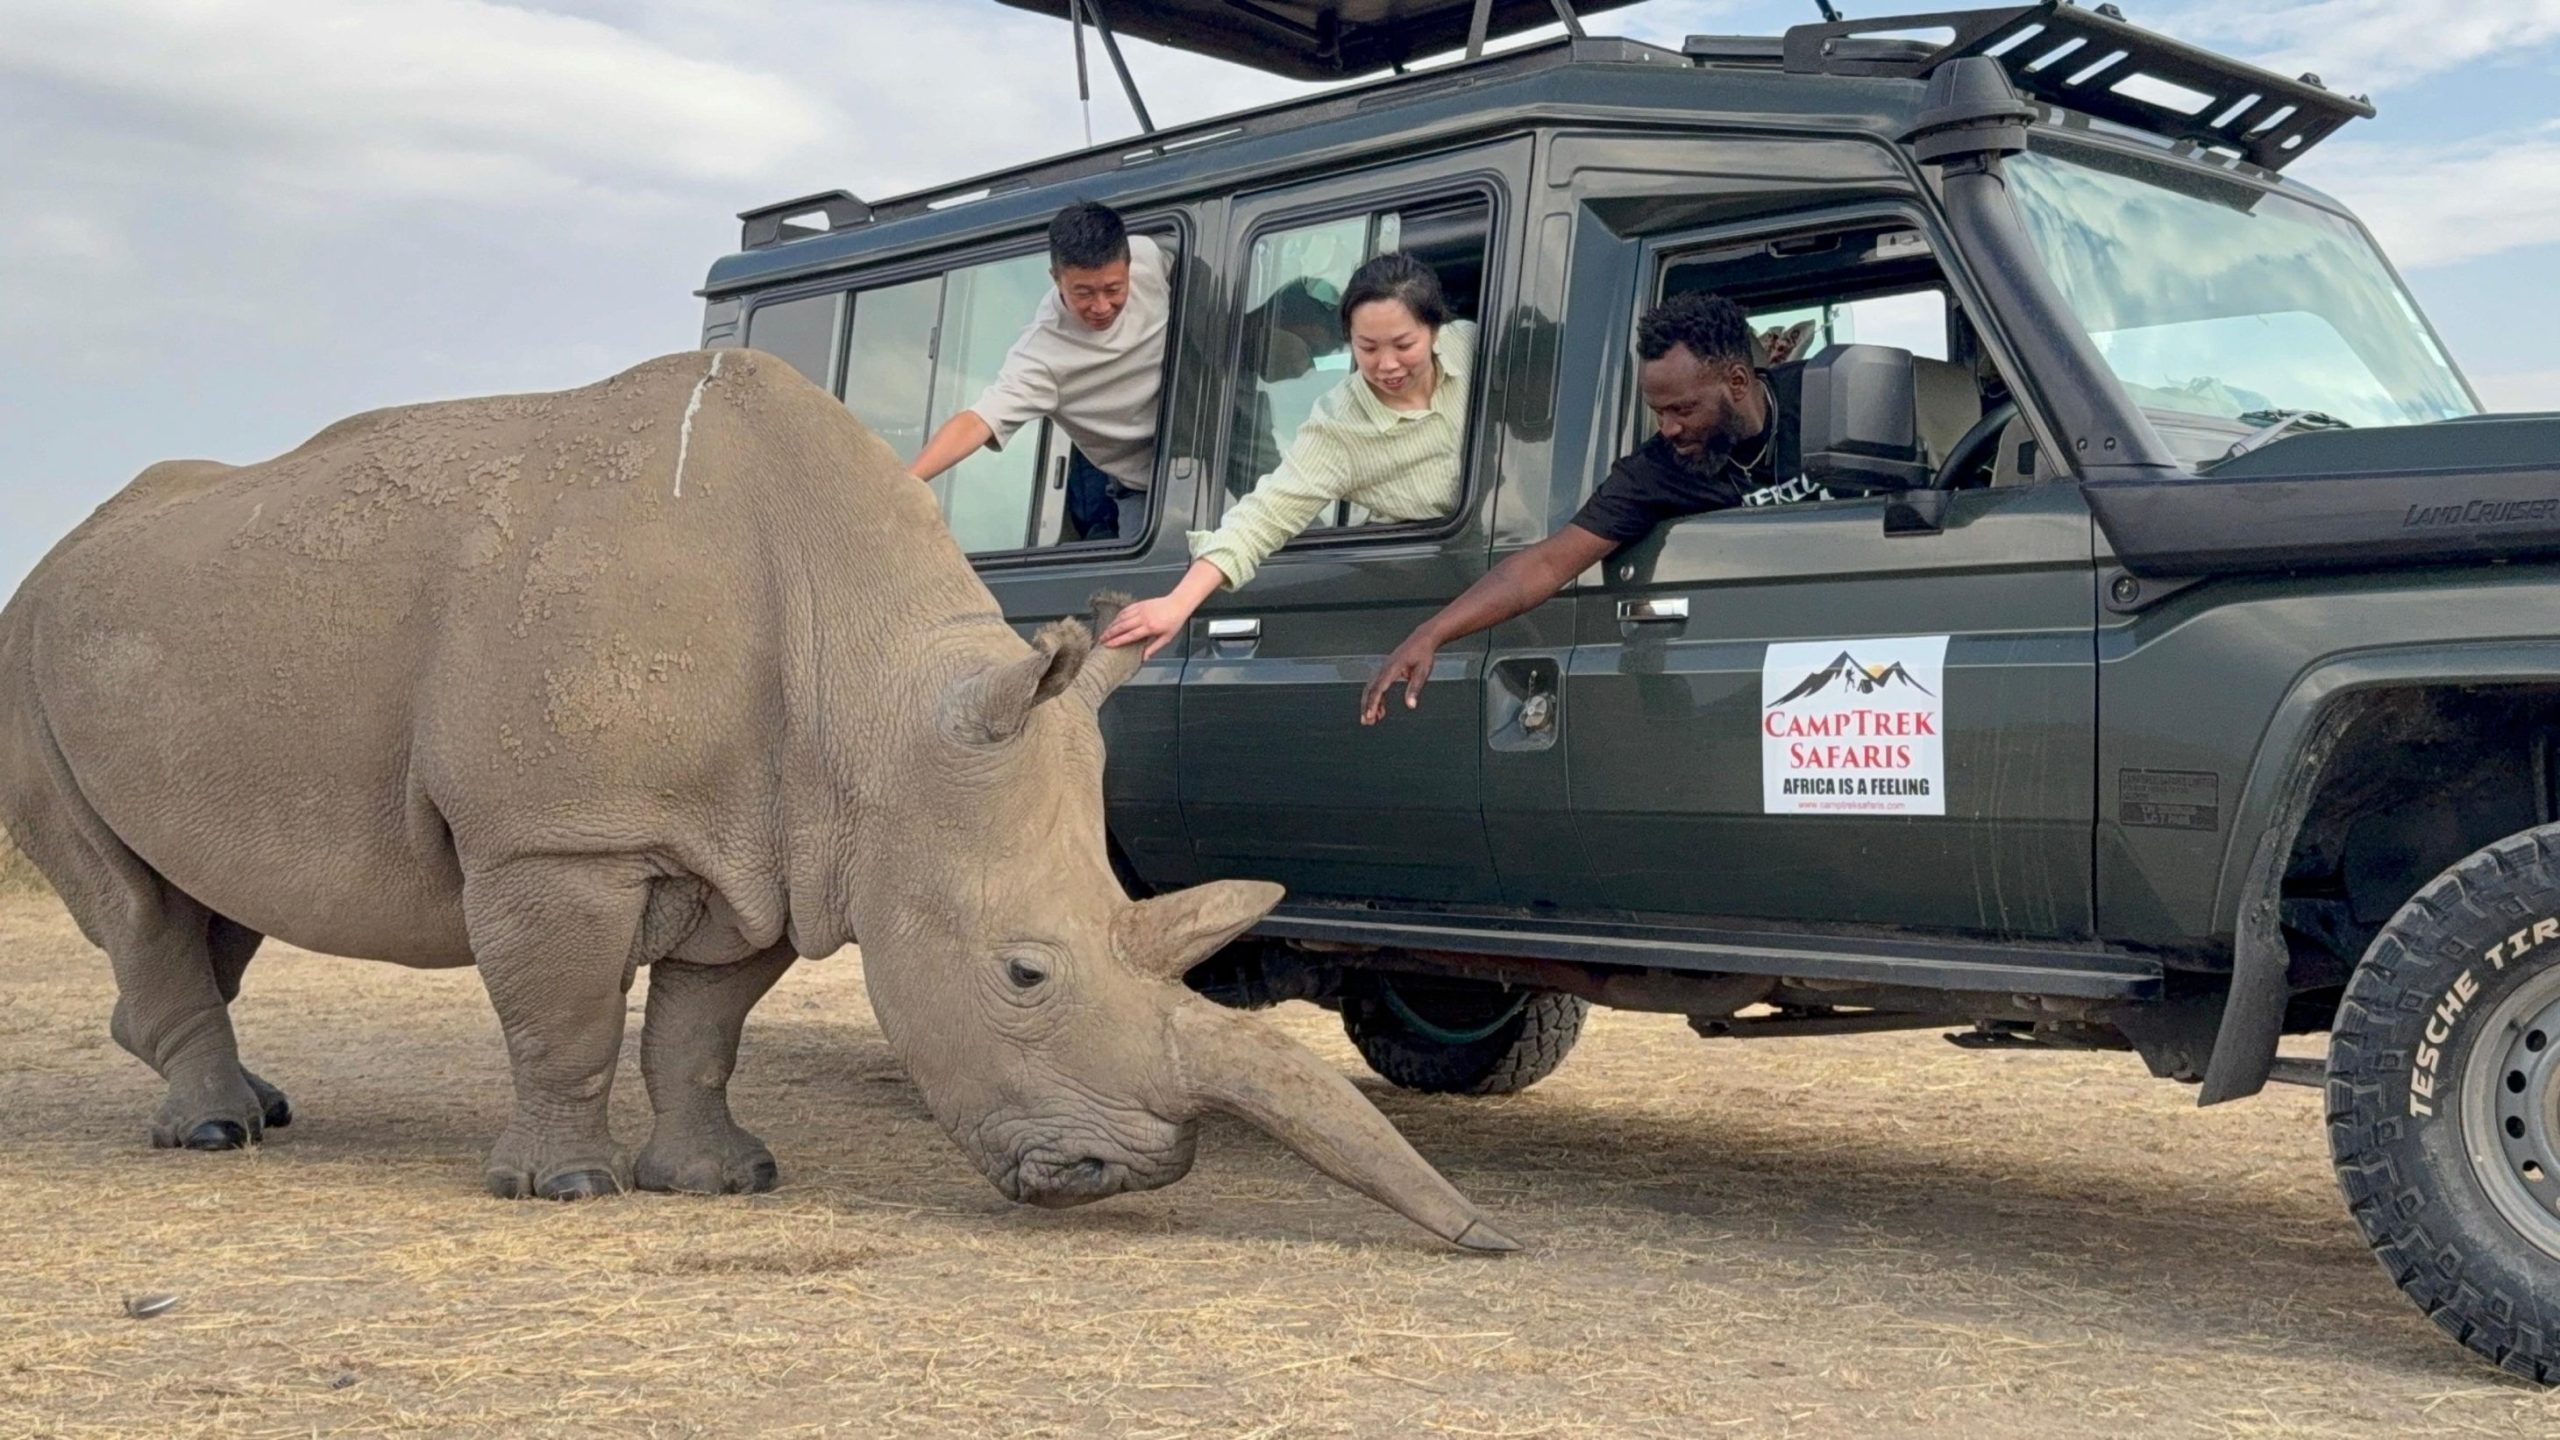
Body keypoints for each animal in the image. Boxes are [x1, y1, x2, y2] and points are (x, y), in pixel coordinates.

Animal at [0, 350, 1513, 1251]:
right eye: (1023, 974)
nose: (1129, 1175)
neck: (881, 700)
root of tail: (69, 544)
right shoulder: (558, 840)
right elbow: (564, 1019)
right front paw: (565, 1191)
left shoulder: (777, 846)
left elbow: (701, 1027)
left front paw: (722, 1180)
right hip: (30, 636)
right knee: (134, 897)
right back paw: (213, 1134)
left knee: (207, 895)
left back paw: (250, 1105)